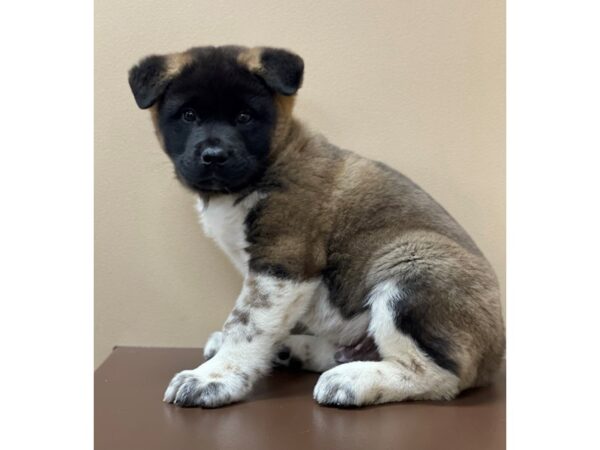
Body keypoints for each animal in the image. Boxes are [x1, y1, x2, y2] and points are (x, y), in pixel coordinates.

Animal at [129, 45, 504, 408]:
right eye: (189, 116)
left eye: (244, 118)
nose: (213, 156)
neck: (272, 161)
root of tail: (497, 355)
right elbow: (257, 321)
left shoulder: (283, 260)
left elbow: (247, 322)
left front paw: (214, 378)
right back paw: (293, 351)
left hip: (414, 269)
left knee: (438, 375)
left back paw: (352, 381)